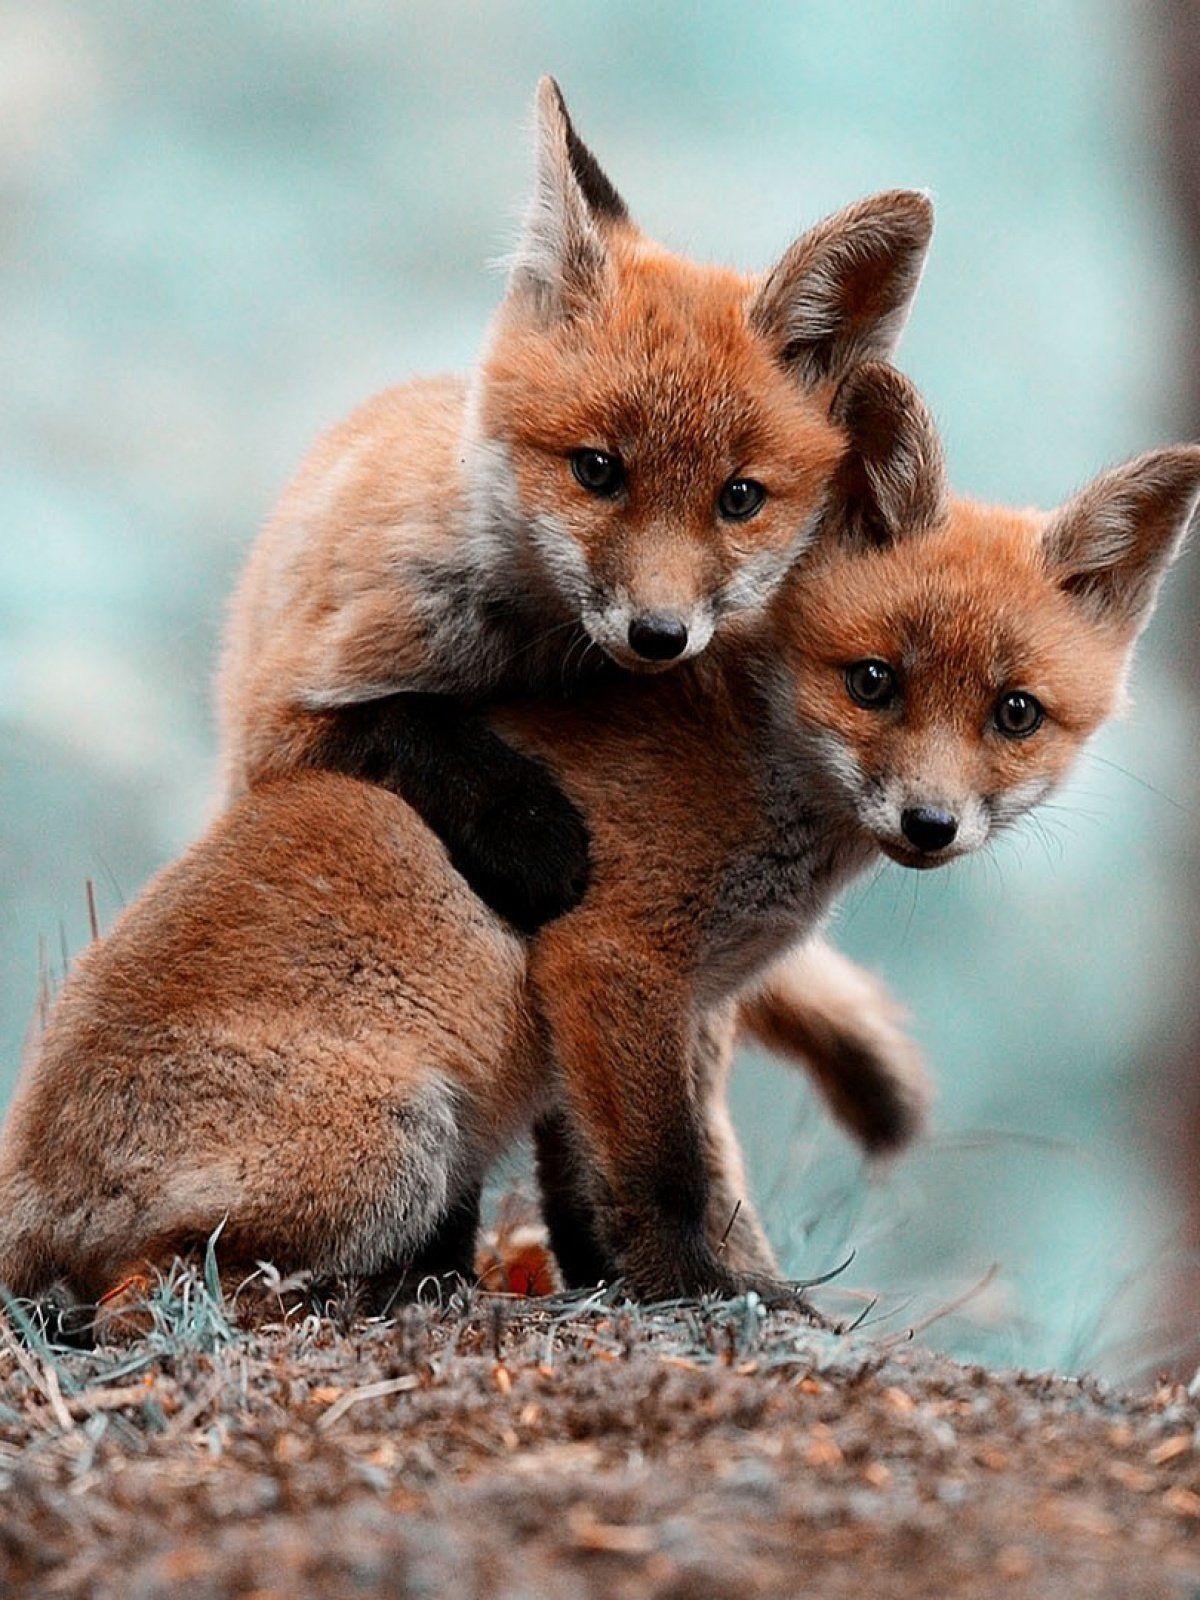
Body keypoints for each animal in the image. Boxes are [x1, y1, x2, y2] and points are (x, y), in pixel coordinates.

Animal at [2, 363, 1194, 1311]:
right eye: (872, 683)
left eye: (1015, 713)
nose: (931, 823)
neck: (751, 758)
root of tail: (26, 1182)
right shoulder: (610, 960)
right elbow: (664, 1177)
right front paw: (697, 1294)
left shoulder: (682, 1008)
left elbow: (645, 1181)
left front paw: (694, 1286)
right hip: (400, 1144)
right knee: (136, 1298)